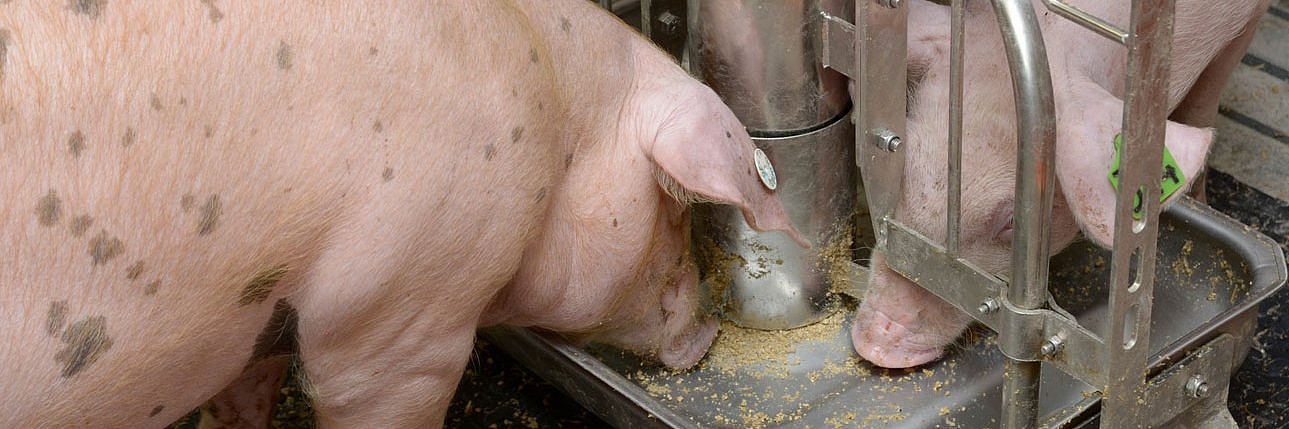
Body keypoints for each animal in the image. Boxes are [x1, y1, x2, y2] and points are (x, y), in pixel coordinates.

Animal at [850, 0, 1263, 368]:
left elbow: (1204, 102)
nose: (875, 344)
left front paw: (1200, 196)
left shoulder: (1245, 21)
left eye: (1012, 221)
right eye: (903, 169)